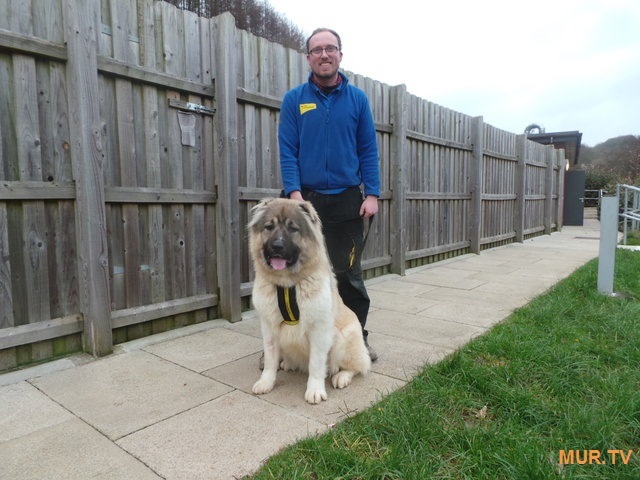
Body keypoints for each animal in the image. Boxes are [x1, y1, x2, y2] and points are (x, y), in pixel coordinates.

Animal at [249, 197, 370, 404]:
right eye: (269, 227)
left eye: (293, 229)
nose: (277, 246)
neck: (288, 286)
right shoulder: (269, 328)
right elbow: (271, 361)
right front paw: (266, 382)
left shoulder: (319, 331)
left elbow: (316, 364)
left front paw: (315, 390)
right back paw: (288, 363)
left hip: (343, 338)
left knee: (356, 366)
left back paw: (341, 376)